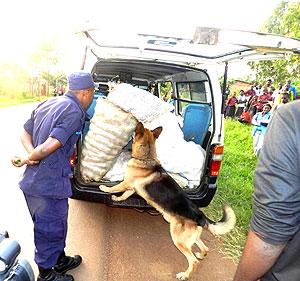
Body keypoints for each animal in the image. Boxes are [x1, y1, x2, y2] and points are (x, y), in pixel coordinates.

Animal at [99, 121, 236, 278]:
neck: (146, 158)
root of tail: (200, 215)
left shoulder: (126, 183)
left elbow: (115, 187)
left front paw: (105, 188)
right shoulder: (132, 188)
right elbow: (124, 195)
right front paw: (117, 198)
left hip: (178, 239)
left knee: (193, 261)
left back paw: (185, 275)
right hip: (191, 237)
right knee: (205, 248)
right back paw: (201, 255)